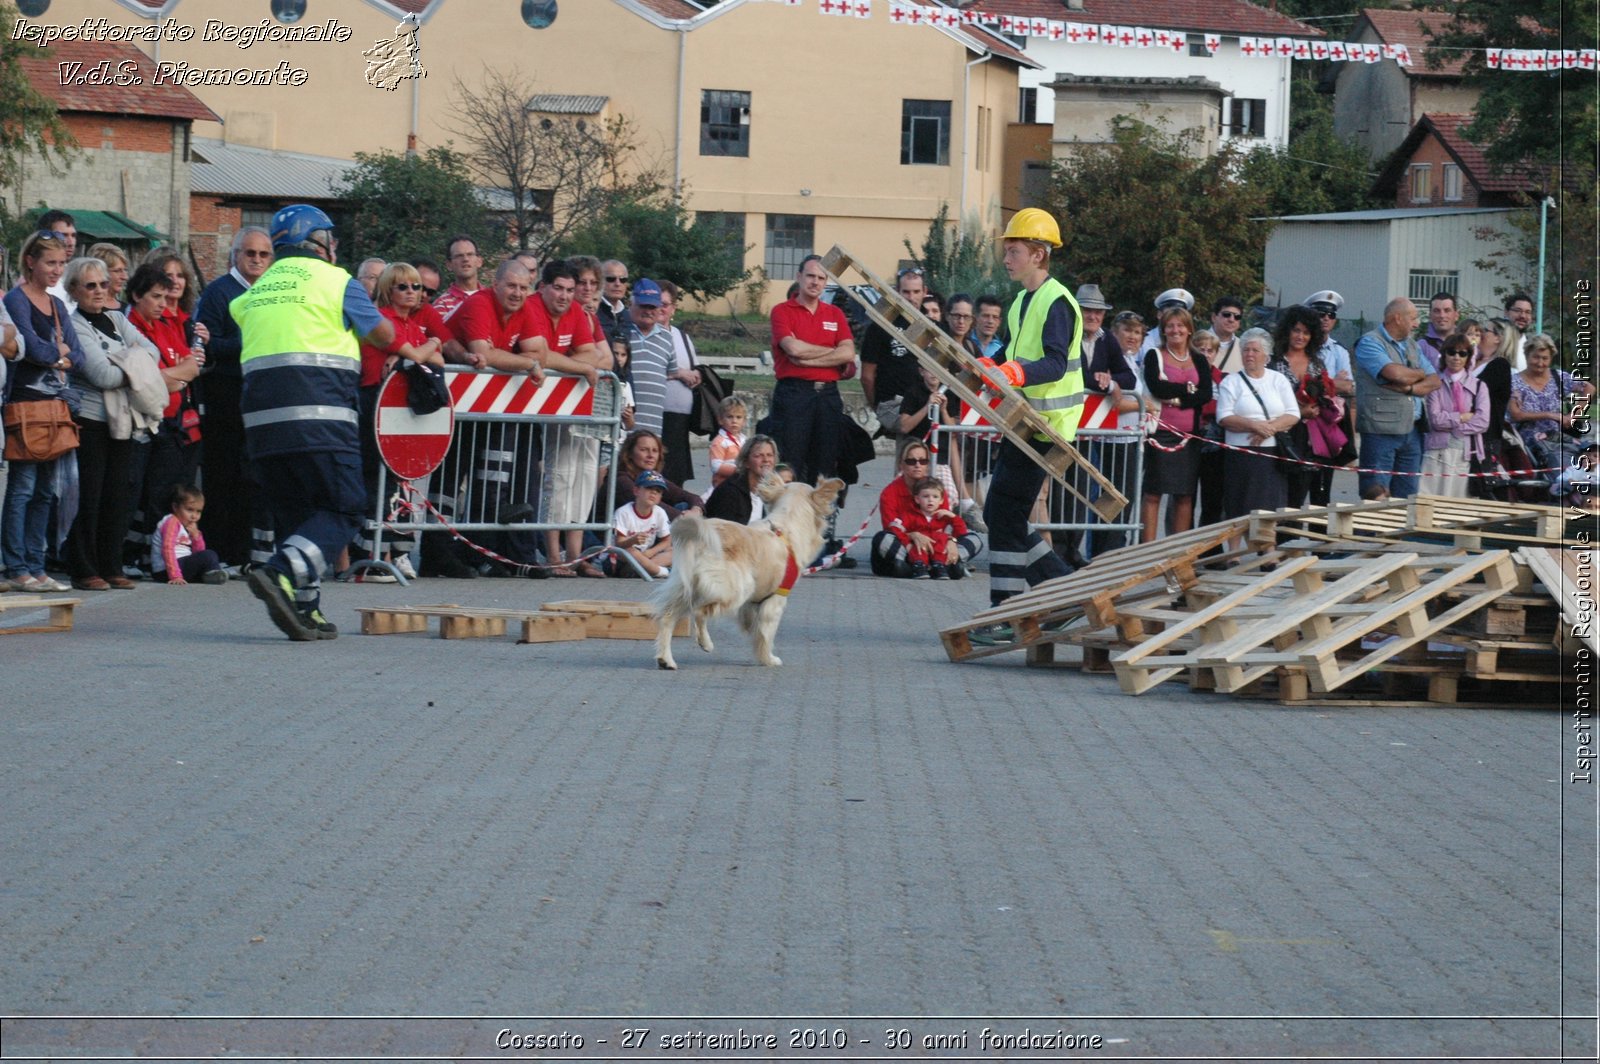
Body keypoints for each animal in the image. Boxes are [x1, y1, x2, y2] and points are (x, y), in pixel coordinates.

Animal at [652, 476, 851, 668]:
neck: (787, 524)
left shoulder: (753, 601)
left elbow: (753, 626)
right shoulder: (776, 600)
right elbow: (766, 634)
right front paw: (768, 658)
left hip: (686, 588)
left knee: (668, 617)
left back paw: (666, 659)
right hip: (736, 589)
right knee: (700, 612)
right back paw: (705, 643)